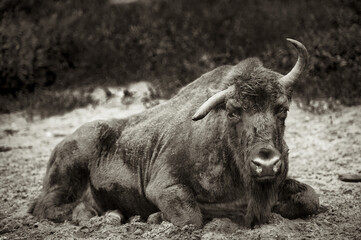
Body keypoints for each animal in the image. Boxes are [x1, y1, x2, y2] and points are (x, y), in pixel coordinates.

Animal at [29, 38, 320, 228]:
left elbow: (310, 198)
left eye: (282, 109)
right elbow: (191, 217)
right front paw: (156, 217)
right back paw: (100, 216)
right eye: (233, 111)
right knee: (47, 207)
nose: (266, 163)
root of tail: (61, 145)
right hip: (67, 172)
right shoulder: (164, 185)